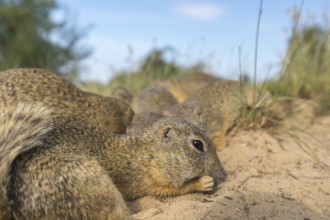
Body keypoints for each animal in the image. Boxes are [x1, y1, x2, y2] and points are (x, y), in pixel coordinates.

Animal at [0, 103, 224, 220]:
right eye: (197, 144)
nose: (217, 166)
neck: (149, 152)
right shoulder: (151, 181)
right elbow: (174, 190)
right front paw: (203, 182)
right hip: (94, 181)